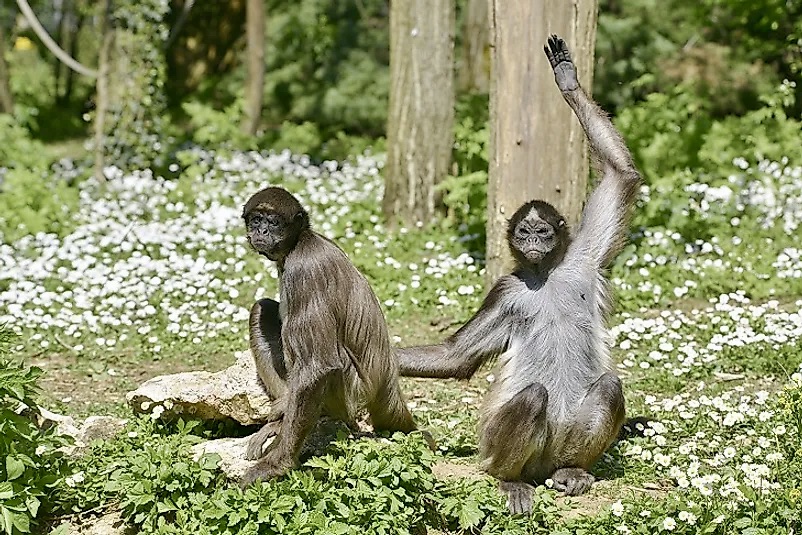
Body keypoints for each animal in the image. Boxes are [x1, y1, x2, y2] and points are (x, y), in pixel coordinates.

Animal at [240, 186, 420, 486]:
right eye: (256, 220)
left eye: (273, 223)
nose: (262, 231)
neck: (302, 241)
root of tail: (387, 383)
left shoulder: (305, 268)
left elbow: (319, 366)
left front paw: (277, 465)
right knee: (261, 310)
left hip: (349, 390)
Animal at [394, 35, 640, 514]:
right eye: (524, 232)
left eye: (542, 232)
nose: (532, 244)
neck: (545, 275)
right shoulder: (506, 289)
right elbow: (455, 357)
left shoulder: (581, 259)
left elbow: (622, 175)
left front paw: (568, 81)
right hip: (494, 443)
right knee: (532, 396)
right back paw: (508, 479)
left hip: (563, 441)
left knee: (608, 387)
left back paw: (572, 471)